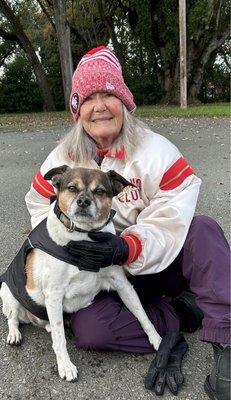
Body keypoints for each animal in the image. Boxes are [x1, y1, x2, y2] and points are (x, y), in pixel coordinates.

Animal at [0, 165, 162, 382]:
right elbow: (60, 339)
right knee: (14, 318)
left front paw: (157, 339)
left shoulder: (123, 285)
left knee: (49, 325)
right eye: (72, 188)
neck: (83, 237)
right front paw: (65, 366)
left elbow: (142, 315)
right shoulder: (54, 295)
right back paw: (14, 334)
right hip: (8, 292)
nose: (83, 201)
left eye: (99, 191)